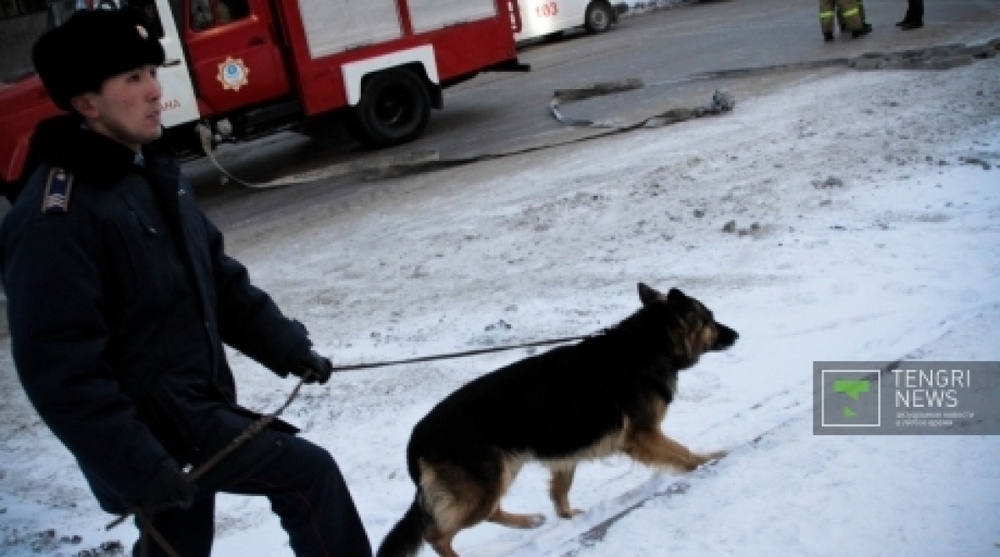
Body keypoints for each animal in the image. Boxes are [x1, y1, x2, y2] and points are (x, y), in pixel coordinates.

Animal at [378, 284, 740, 552]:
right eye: (710, 319)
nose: (736, 334)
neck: (648, 344)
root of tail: (416, 438)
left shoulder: (568, 452)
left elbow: (561, 487)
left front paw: (567, 517)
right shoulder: (643, 435)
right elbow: (681, 452)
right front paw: (707, 461)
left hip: (497, 478)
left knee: (489, 513)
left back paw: (529, 522)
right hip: (484, 486)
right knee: (437, 535)